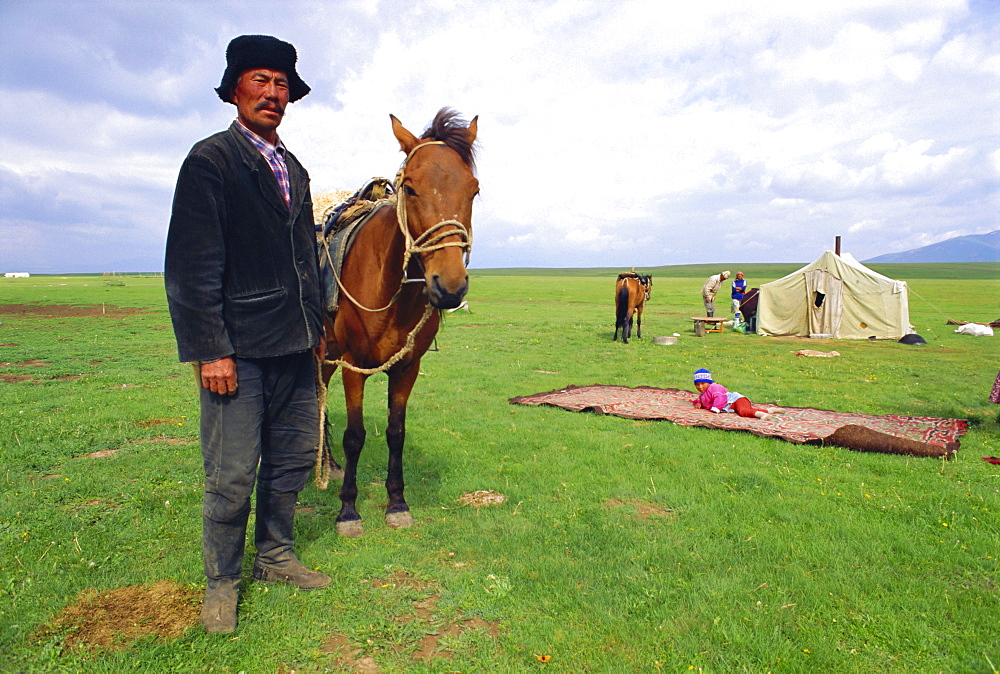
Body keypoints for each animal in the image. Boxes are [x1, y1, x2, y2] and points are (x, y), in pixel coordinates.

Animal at [320, 111, 476, 540]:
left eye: (474, 190)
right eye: (410, 187)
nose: (450, 286)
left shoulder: (407, 368)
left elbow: (396, 433)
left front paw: (397, 503)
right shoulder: (353, 367)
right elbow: (355, 435)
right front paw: (348, 510)